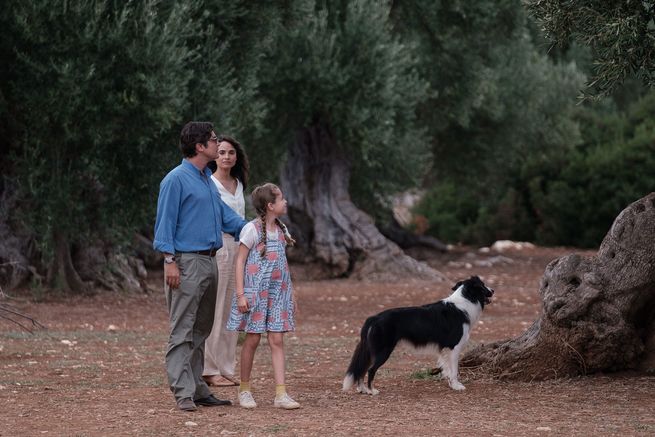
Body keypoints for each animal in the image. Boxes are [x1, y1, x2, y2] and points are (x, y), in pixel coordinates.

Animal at [344, 276, 492, 396]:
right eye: (483, 285)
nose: (493, 290)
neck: (465, 300)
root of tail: (373, 318)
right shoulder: (454, 347)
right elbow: (454, 369)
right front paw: (457, 386)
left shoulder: (445, 350)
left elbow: (447, 368)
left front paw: (451, 384)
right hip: (383, 350)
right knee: (370, 370)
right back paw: (371, 390)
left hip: (370, 350)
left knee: (362, 369)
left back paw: (363, 389)